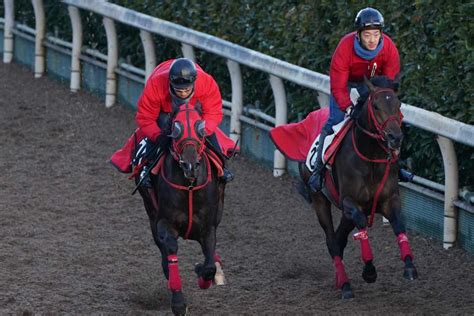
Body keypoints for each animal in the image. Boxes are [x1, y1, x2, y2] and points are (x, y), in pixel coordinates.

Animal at [137, 102, 226, 314]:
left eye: (201, 127)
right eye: (175, 128)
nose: (190, 165)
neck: (190, 186)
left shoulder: (208, 227)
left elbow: (209, 265)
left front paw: (205, 273)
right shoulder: (164, 223)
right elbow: (170, 250)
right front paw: (178, 302)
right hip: (150, 212)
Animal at [300, 76, 418, 298]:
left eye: (398, 105)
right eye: (376, 105)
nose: (395, 137)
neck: (370, 156)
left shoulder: (389, 199)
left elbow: (399, 224)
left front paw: (409, 266)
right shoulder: (350, 202)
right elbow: (362, 223)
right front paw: (369, 271)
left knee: (339, 239)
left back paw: (340, 281)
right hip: (319, 199)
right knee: (332, 241)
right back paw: (345, 285)